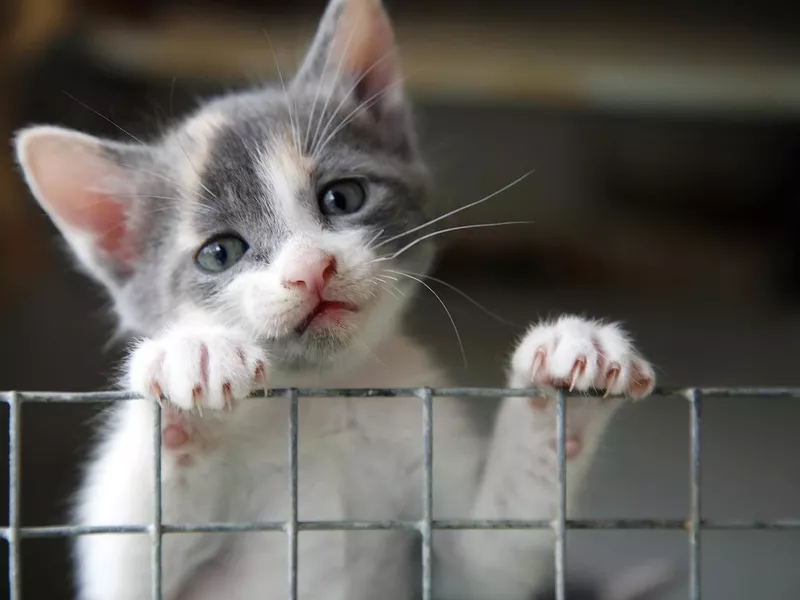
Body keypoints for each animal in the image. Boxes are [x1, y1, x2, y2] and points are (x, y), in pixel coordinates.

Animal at [14, 1, 656, 600]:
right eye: (219, 253)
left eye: (342, 197)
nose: (310, 270)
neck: (320, 396)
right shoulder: (123, 577)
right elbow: (127, 558)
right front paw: (189, 359)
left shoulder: (459, 560)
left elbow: (489, 560)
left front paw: (572, 366)